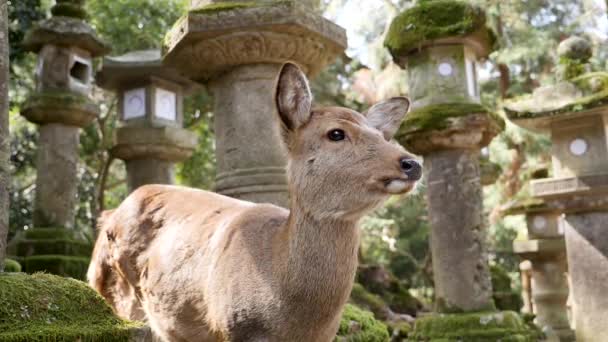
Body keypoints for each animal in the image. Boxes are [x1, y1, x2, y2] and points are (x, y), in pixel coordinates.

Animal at [88, 62, 420, 342]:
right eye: (336, 133)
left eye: (381, 135)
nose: (411, 163)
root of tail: (109, 215)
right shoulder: (232, 326)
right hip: (114, 293)